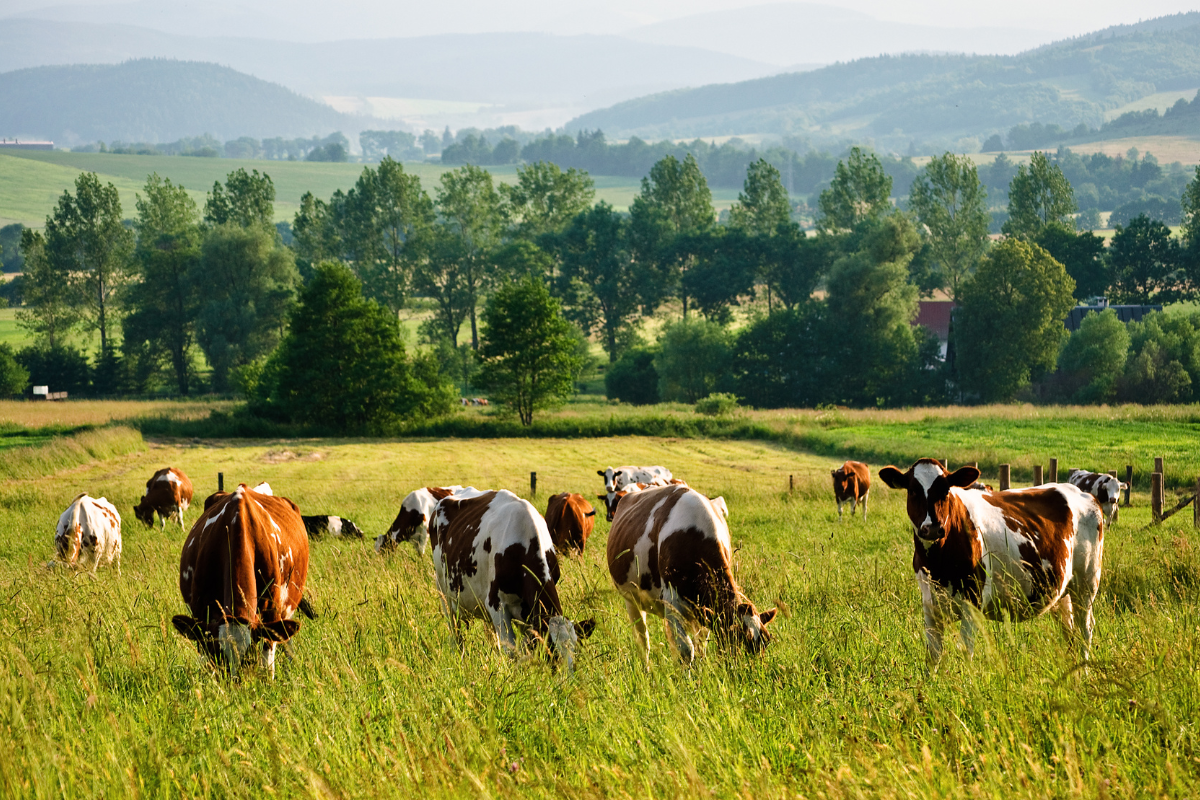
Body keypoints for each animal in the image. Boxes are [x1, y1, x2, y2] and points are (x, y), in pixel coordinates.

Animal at [175, 484, 314, 681]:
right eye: (218, 655)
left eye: (249, 657)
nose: (235, 684)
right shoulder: (201, 613)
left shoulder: (270, 615)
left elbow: (267, 664)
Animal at [429, 491, 592, 671]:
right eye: (551, 650)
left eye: (575, 651)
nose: (567, 677)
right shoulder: (496, 604)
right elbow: (512, 651)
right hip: (443, 592)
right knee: (455, 632)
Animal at [609, 484, 777, 666]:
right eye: (736, 637)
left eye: (767, 641)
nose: (752, 670)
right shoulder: (672, 603)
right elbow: (685, 650)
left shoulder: (704, 610)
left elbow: (701, 644)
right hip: (631, 599)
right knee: (642, 641)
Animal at [873, 460, 1104, 666]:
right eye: (913, 491)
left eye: (946, 490)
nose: (932, 528)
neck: (938, 564)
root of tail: (1081, 492)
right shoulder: (930, 604)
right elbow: (933, 655)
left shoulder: (973, 602)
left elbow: (966, 652)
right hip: (1062, 591)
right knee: (1069, 632)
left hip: (1086, 584)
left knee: (1085, 630)